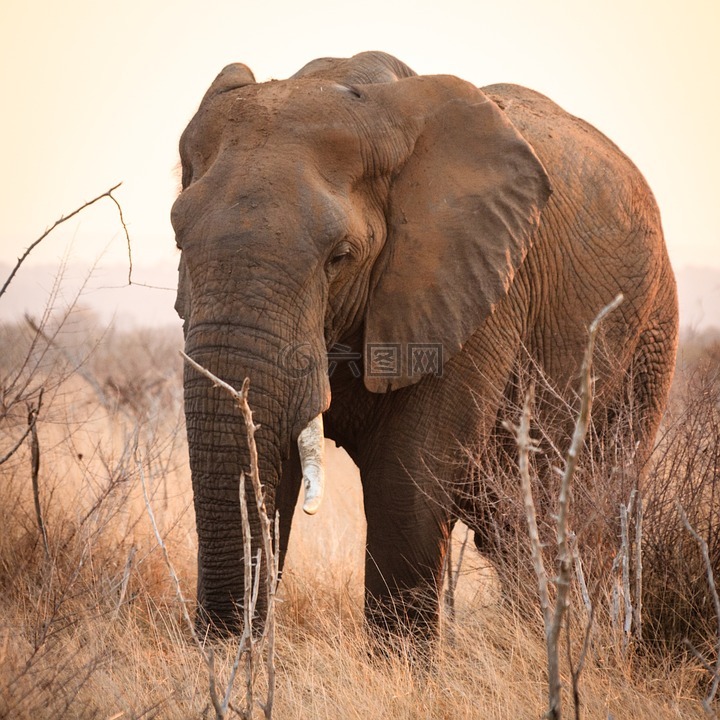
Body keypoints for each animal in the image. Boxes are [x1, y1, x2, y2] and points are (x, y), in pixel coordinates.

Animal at [172, 50, 676, 640]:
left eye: (340, 257)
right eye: (177, 238)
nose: (220, 646)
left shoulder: (477, 290)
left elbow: (406, 485)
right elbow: (280, 467)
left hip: (649, 338)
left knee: (589, 510)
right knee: (511, 531)